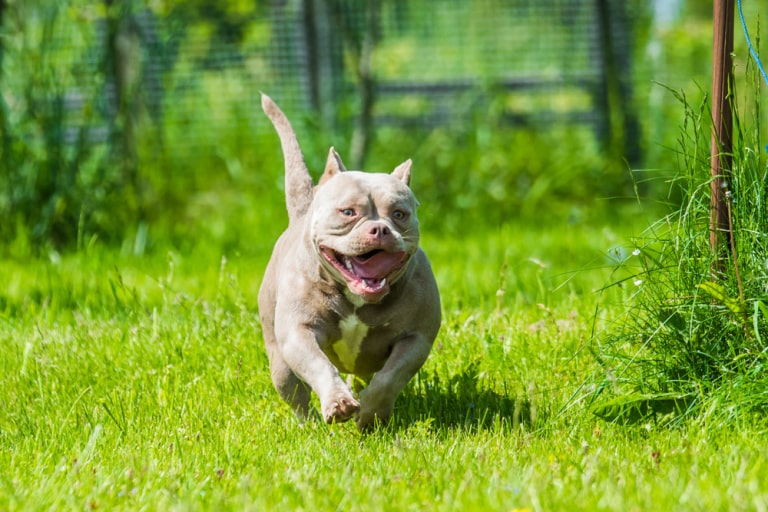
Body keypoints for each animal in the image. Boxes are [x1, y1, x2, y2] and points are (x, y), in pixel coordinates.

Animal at [256, 94, 440, 430]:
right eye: (348, 212)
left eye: (399, 214)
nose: (380, 229)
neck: (357, 299)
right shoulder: (299, 332)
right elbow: (319, 365)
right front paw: (339, 403)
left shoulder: (415, 339)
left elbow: (389, 379)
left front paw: (370, 413)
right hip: (280, 362)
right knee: (295, 392)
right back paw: (309, 425)